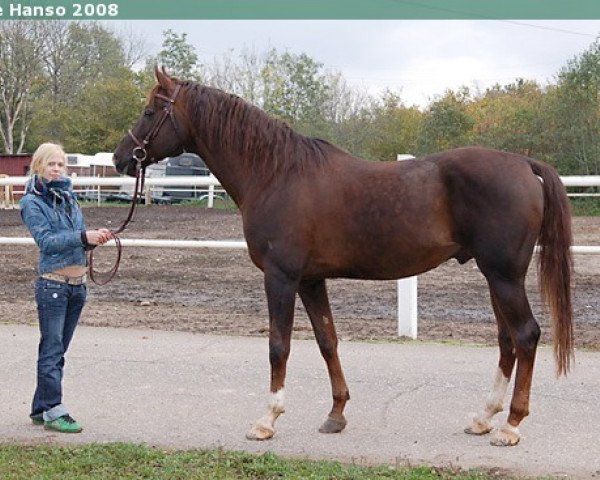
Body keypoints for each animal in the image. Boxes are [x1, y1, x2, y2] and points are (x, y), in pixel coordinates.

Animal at [112, 67, 572, 446]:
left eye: (150, 111)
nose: (121, 158)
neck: (276, 173)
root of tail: (524, 164)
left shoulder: (281, 277)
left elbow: (278, 345)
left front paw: (267, 420)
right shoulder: (311, 280)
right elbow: (327, 341)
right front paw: (336, 414)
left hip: (504, 276)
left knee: (526, 335)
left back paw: (510, 426)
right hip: (495, 277)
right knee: (507, 340)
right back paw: (484, 417)